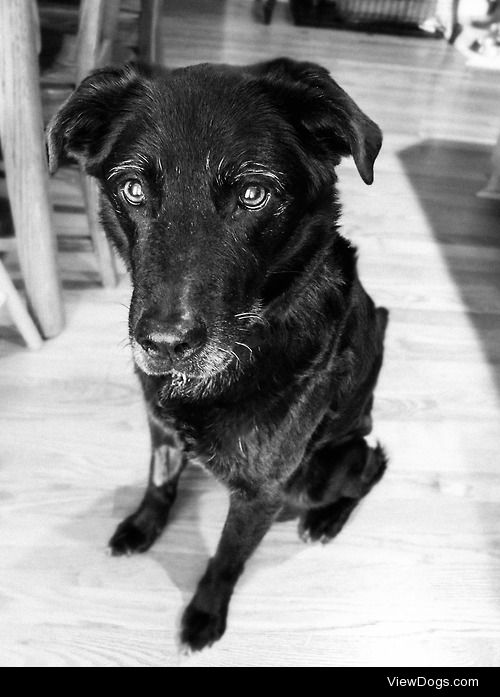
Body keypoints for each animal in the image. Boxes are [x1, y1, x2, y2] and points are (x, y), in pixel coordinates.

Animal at [47, 57, 388, 648]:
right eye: (131, 188)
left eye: (253, 194)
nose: (163, 345)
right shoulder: (160, 428)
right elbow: (159, 485)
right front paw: (143, 527)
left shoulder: (260, 492)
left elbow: (228, 557)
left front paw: (206, 611)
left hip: (324, 470)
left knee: (371, 467)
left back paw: (327, 520)